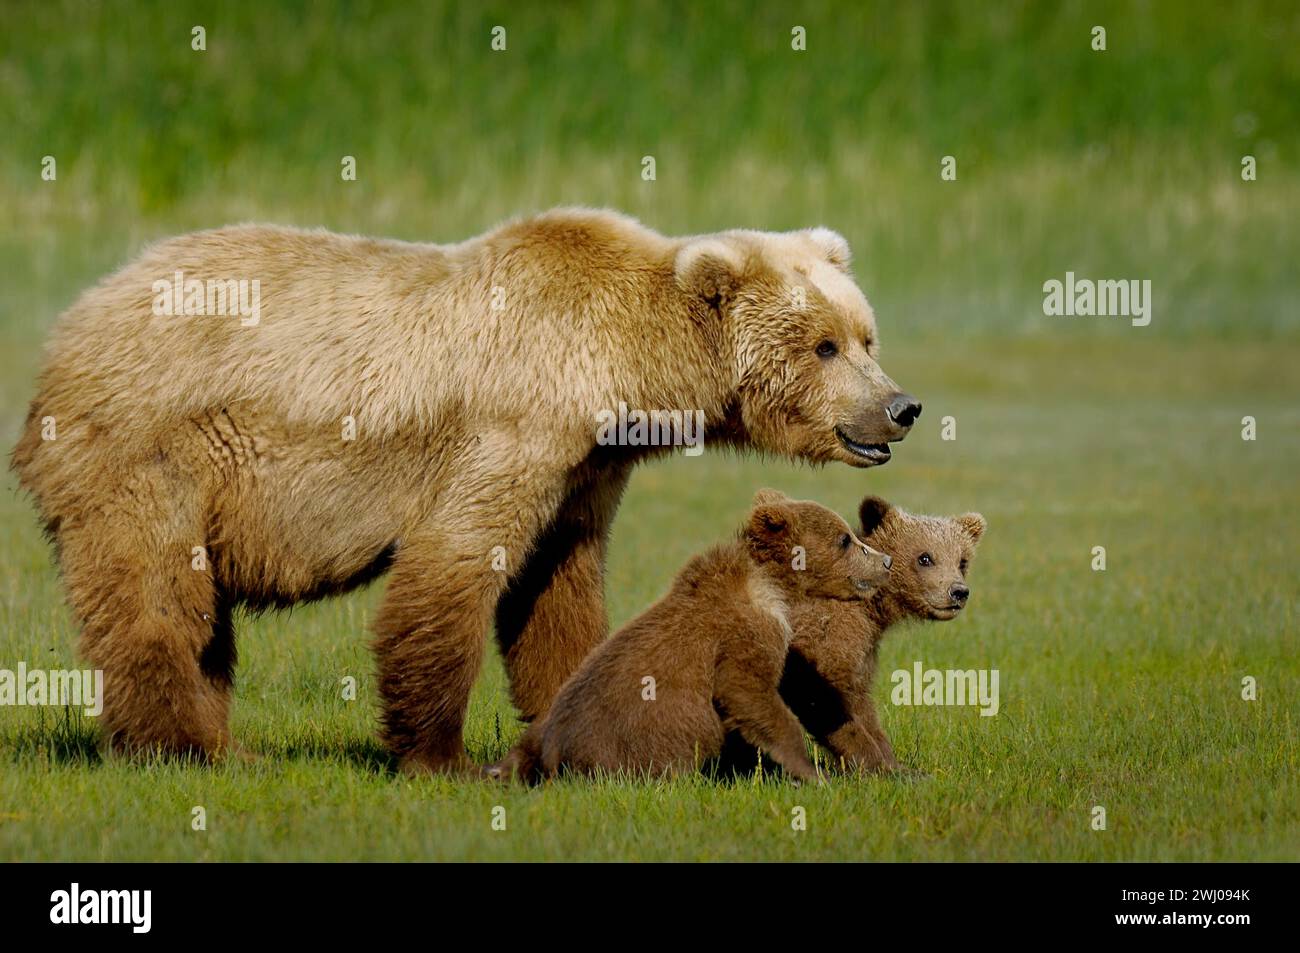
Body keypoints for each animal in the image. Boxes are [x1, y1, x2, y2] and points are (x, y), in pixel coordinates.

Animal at [489, 490, 893, 783]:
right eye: (844, 539)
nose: (884, 561)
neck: (775, 588)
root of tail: (552, 754)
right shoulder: (742, 633)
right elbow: (747, 691)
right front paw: (811, 772)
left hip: (540, 730)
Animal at [716, 495, 986, 777]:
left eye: (962, 561)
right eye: (925, 558)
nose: (958, 592)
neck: (873, 610)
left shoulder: (862, 651)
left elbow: (862, 704)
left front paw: (899, 766)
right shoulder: (822, 636)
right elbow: (825, 700)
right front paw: (875, 764)